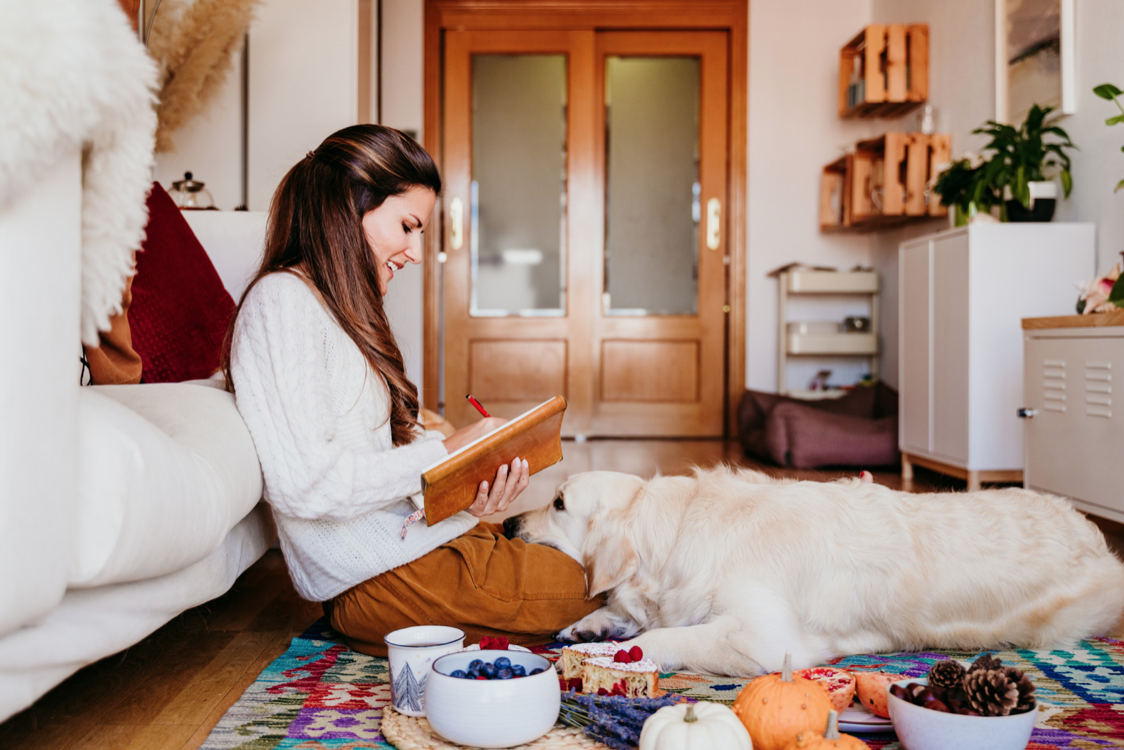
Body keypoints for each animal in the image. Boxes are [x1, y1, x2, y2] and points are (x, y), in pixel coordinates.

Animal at [501, 465, 1124, 679]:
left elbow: (665, 634)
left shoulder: (764, 638)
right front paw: (591, 626)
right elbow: (629, 613)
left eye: (558, 502)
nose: (506, 523)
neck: (676, 528)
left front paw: (613, 646)